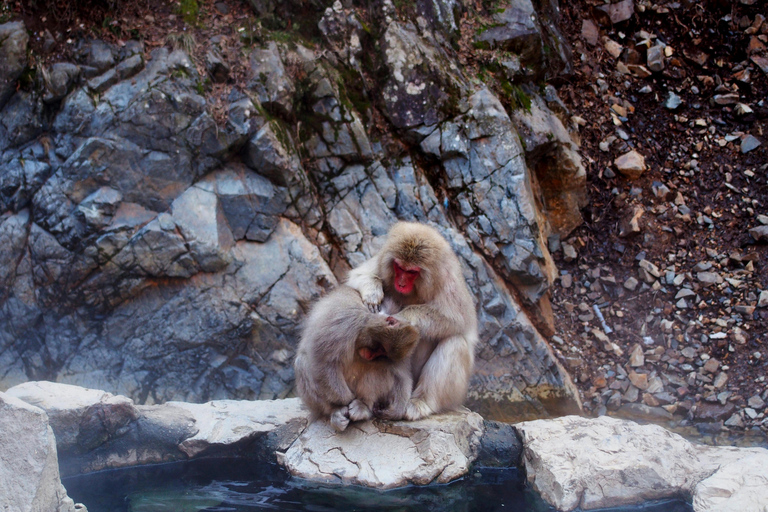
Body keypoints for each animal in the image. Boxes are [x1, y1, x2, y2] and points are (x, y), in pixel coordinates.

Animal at [294, 286, 419, 432]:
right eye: (380, 347)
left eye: (382, 352)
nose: (371, 355)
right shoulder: (346, 323)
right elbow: (323, 361)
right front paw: (344, 400)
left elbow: (400, 373)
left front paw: (396, 410)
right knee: (302, 363)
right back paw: (335, 410)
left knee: (382, 368)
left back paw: (363, 406)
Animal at [346, 221, 478, 421]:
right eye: (399, 267)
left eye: (412, 272)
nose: (400, 283)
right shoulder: (382, 261)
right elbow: (359, 275)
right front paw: (373, 293)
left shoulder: (448, 282)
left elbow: (455, 319)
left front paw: (402, 318)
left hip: (453, 392)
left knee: (455, 342)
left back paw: (421, 402)